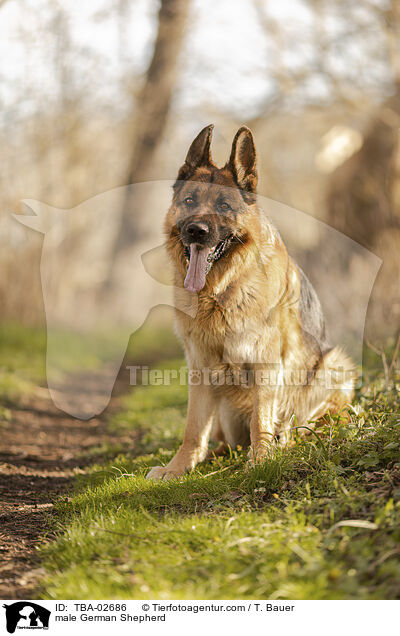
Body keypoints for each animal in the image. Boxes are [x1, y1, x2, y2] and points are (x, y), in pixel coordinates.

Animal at [148, 125, 356, 482]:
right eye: (189, 201)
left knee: (303, 422)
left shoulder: (266, 363)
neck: (220, 292)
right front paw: (177, 468)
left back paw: (286, 440)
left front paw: (261, 461)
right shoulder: (200, 367)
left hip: (332, 366)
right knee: (223, 441)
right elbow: (193, 429)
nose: (196, 231)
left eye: (224, 205)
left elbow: (261, 421)